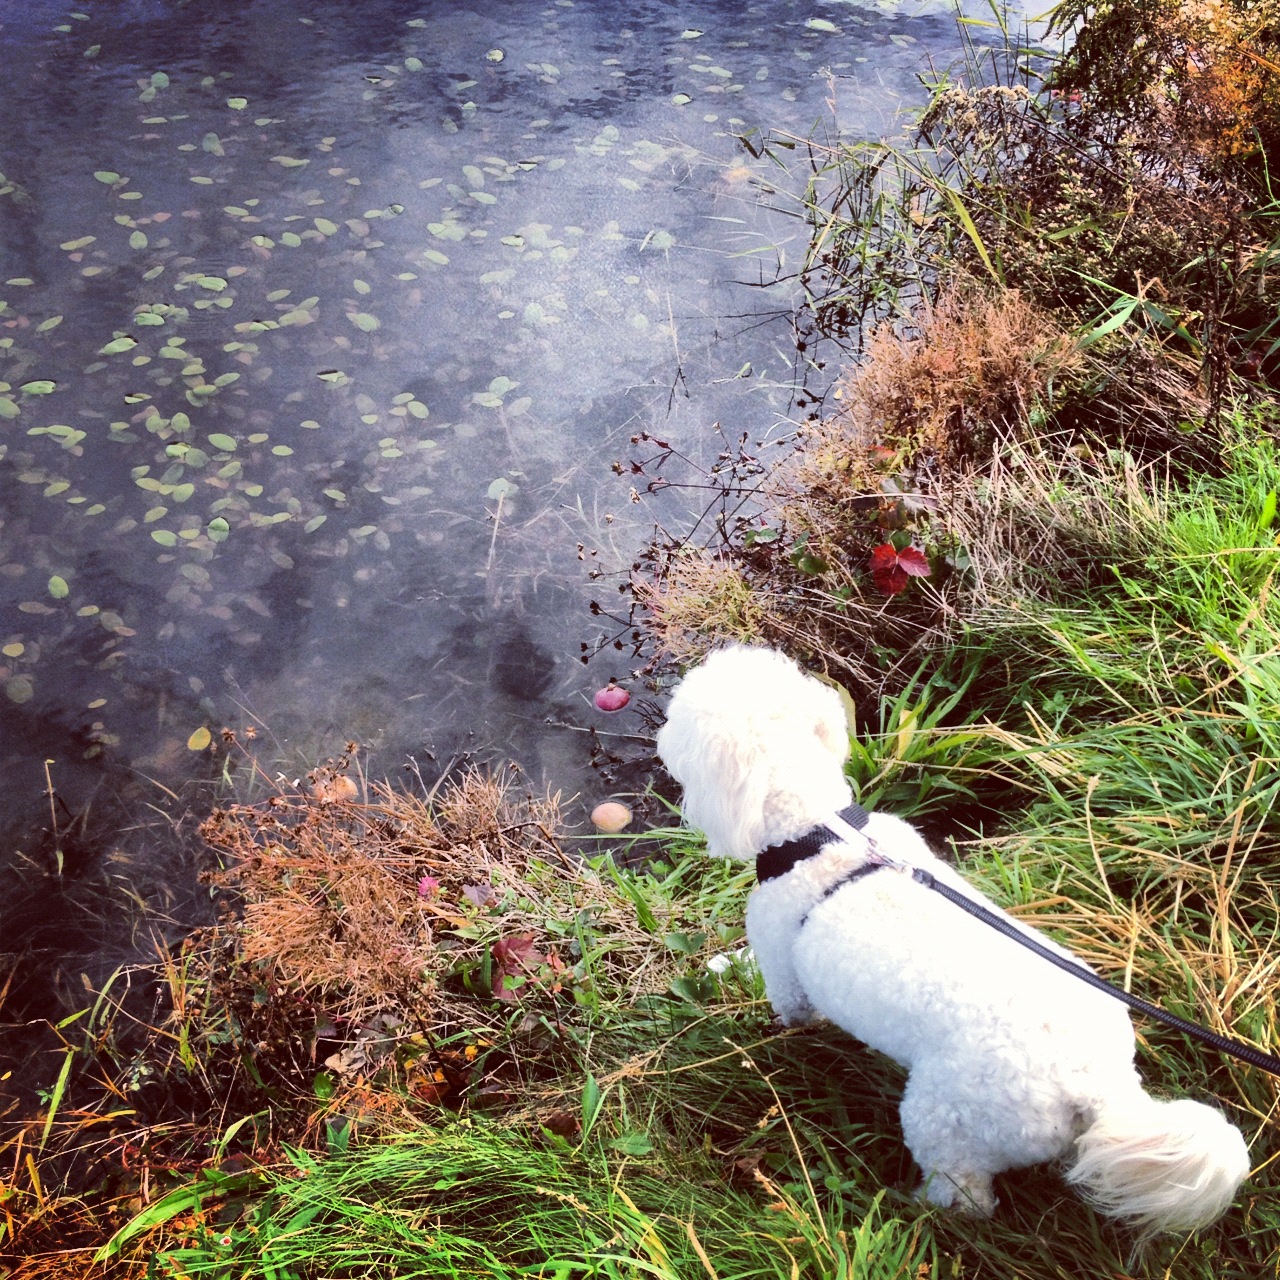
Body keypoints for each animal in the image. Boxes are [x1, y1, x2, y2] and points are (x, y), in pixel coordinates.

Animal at [660, 650, 1249, 1228]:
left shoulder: (784, 971)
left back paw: (914, 1206)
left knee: (965, 1195)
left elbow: (789, 1006)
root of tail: (1099, 1085)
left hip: (945, 1119)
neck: (820, 831)